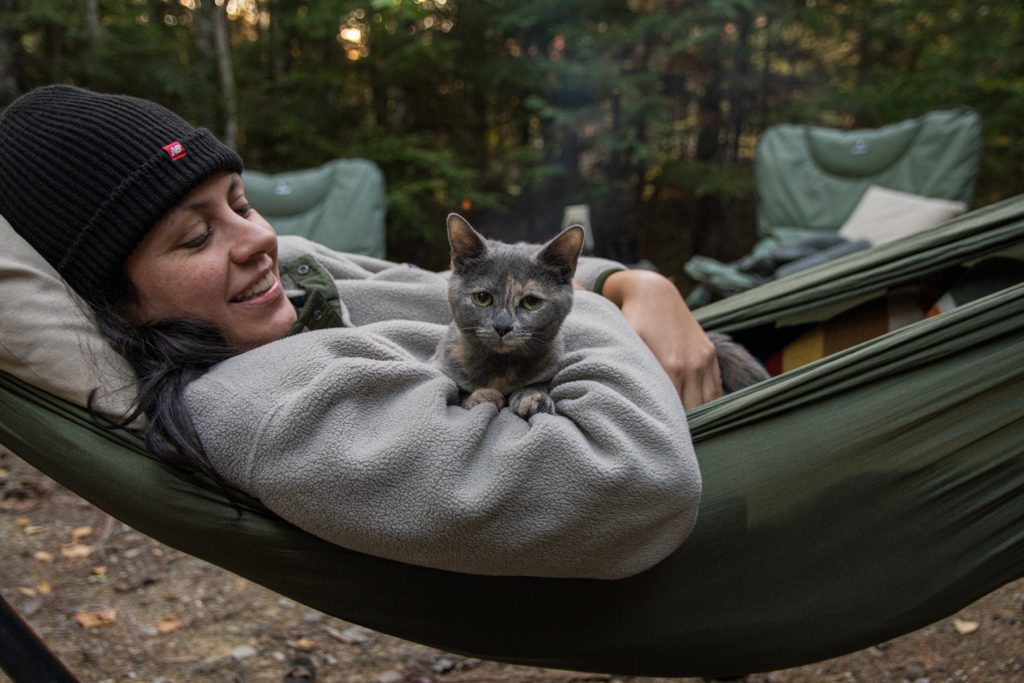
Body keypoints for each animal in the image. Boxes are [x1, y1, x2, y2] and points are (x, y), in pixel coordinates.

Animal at [432, 214, 770, 419]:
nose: (503, 326)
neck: (502, 368)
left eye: (530, 302)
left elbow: (541, 385)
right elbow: (459, 391)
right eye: (483, 298)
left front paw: (531, 397)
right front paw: (479, 396)